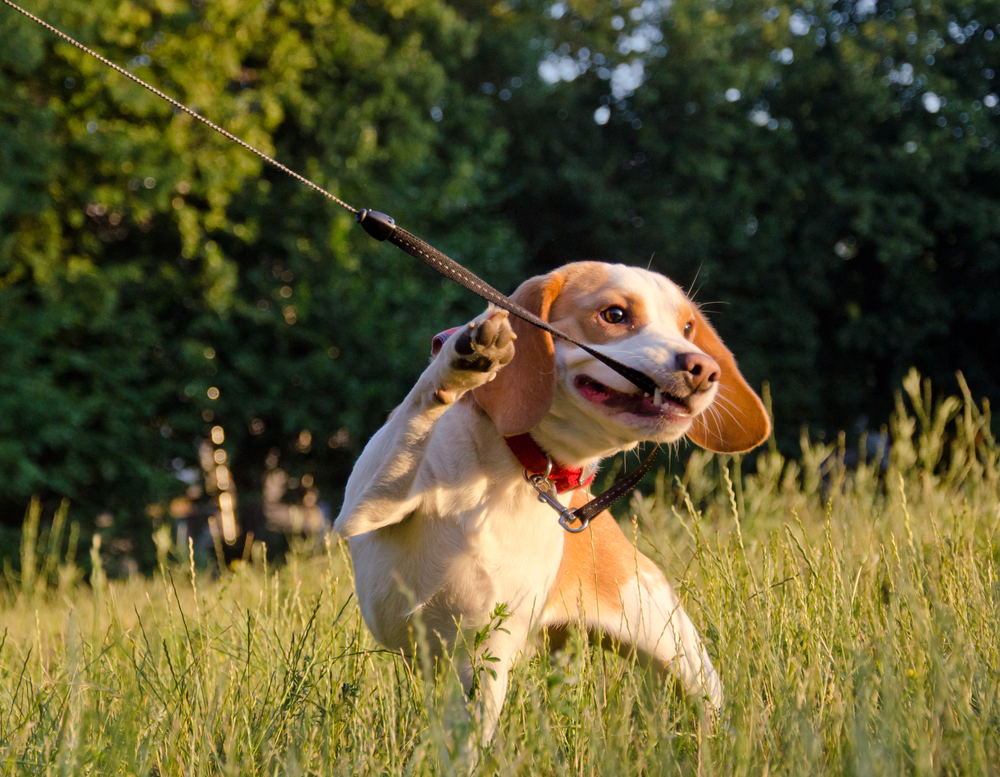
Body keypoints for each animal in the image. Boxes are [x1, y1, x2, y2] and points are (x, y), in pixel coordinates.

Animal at [334, 260, 764, 740]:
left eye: (687, 327)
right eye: (615, 315)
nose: (704, 368)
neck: (512, 468)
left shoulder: (483, 660)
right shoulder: (363, 507)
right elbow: (418, 408)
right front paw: (460, 364)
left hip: (684, 661)